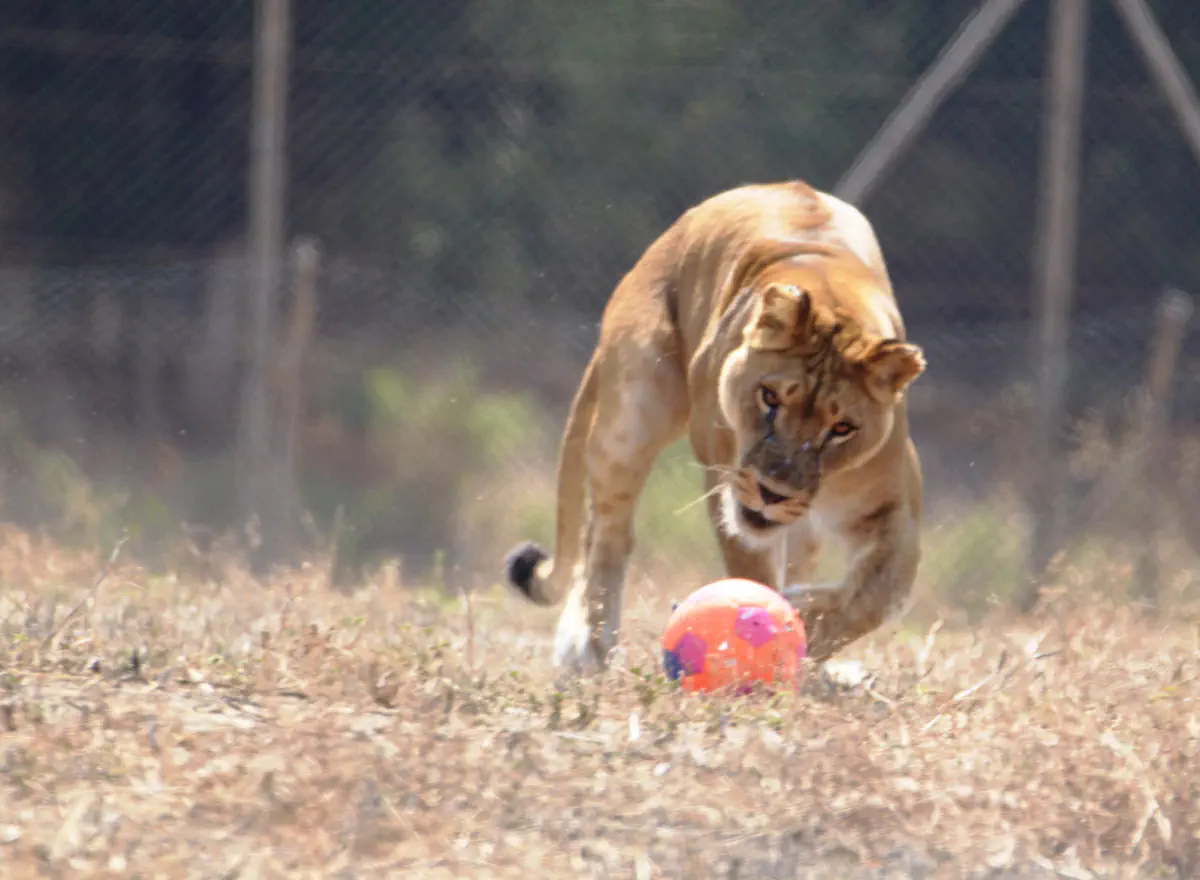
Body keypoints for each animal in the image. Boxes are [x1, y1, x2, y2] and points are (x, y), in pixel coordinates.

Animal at [504, 180, 926, 674]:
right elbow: (755, 575)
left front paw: (804, 624)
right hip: (634, 407)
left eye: (841, 428)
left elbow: (881, 594)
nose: (773, 492)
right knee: (608, 532)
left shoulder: (893, 508)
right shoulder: (730, 491)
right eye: (769, 398)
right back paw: (588, 647)